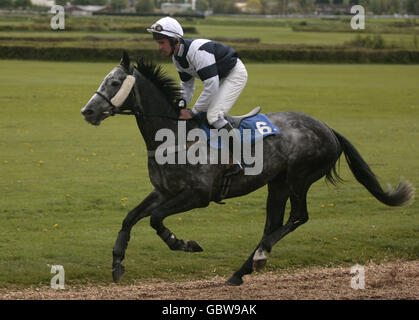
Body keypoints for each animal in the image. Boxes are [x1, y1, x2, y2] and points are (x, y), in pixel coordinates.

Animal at [80, 52, 416, 284]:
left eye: (114, 82)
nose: (87, 111)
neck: (174, 136)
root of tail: (328, 129)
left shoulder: (198, 196)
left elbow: (155, 220)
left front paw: (185, 243)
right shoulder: (163, 191)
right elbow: (131, 217)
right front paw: (117, 263)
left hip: (299, 177)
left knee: (297, 216)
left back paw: (260, 253)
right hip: (278, 183)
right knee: (274, 222)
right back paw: (242, 270)